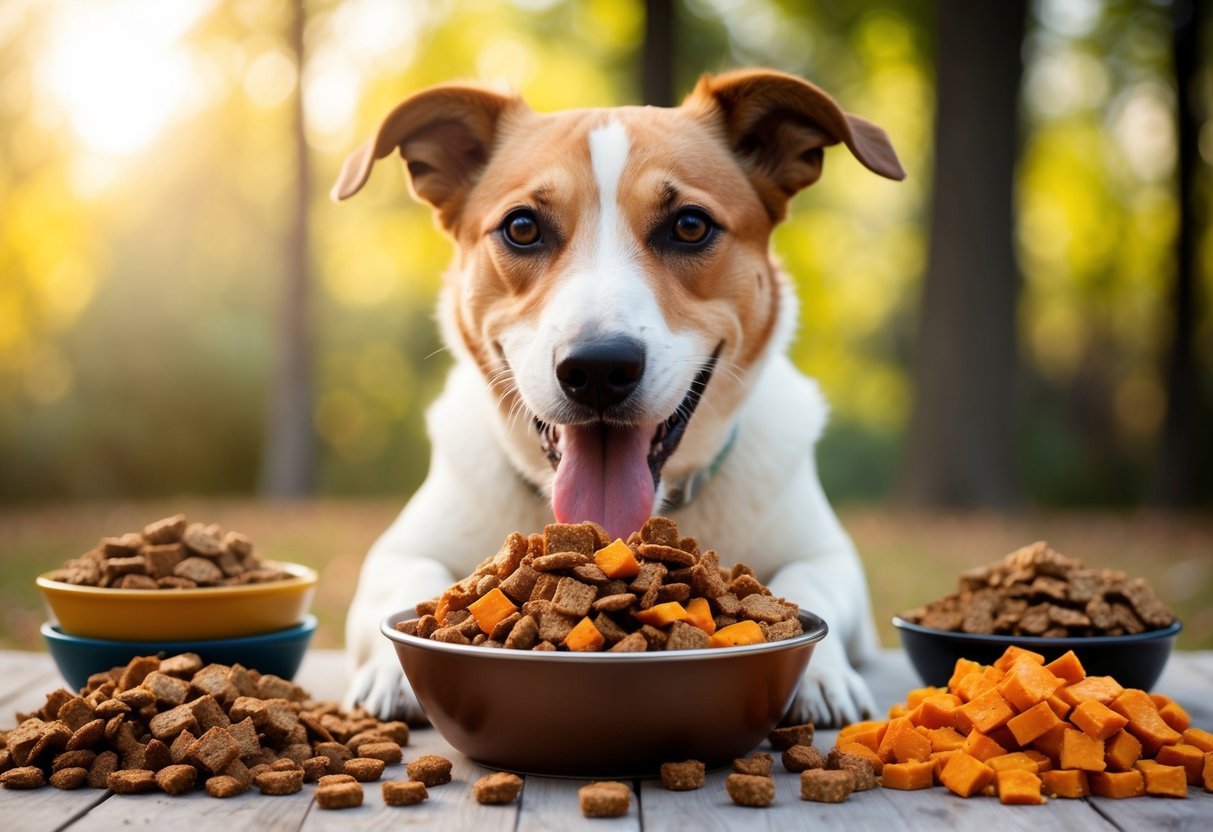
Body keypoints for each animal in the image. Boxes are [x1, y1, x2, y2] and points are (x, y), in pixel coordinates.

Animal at [332, 68, 902, 727]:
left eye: (690, 225)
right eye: (522, 228)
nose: (598, 368)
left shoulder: (831, 553)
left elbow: (812, 577)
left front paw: (823, 674)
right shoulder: (403, 547)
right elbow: (406, 573)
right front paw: (389, 669)